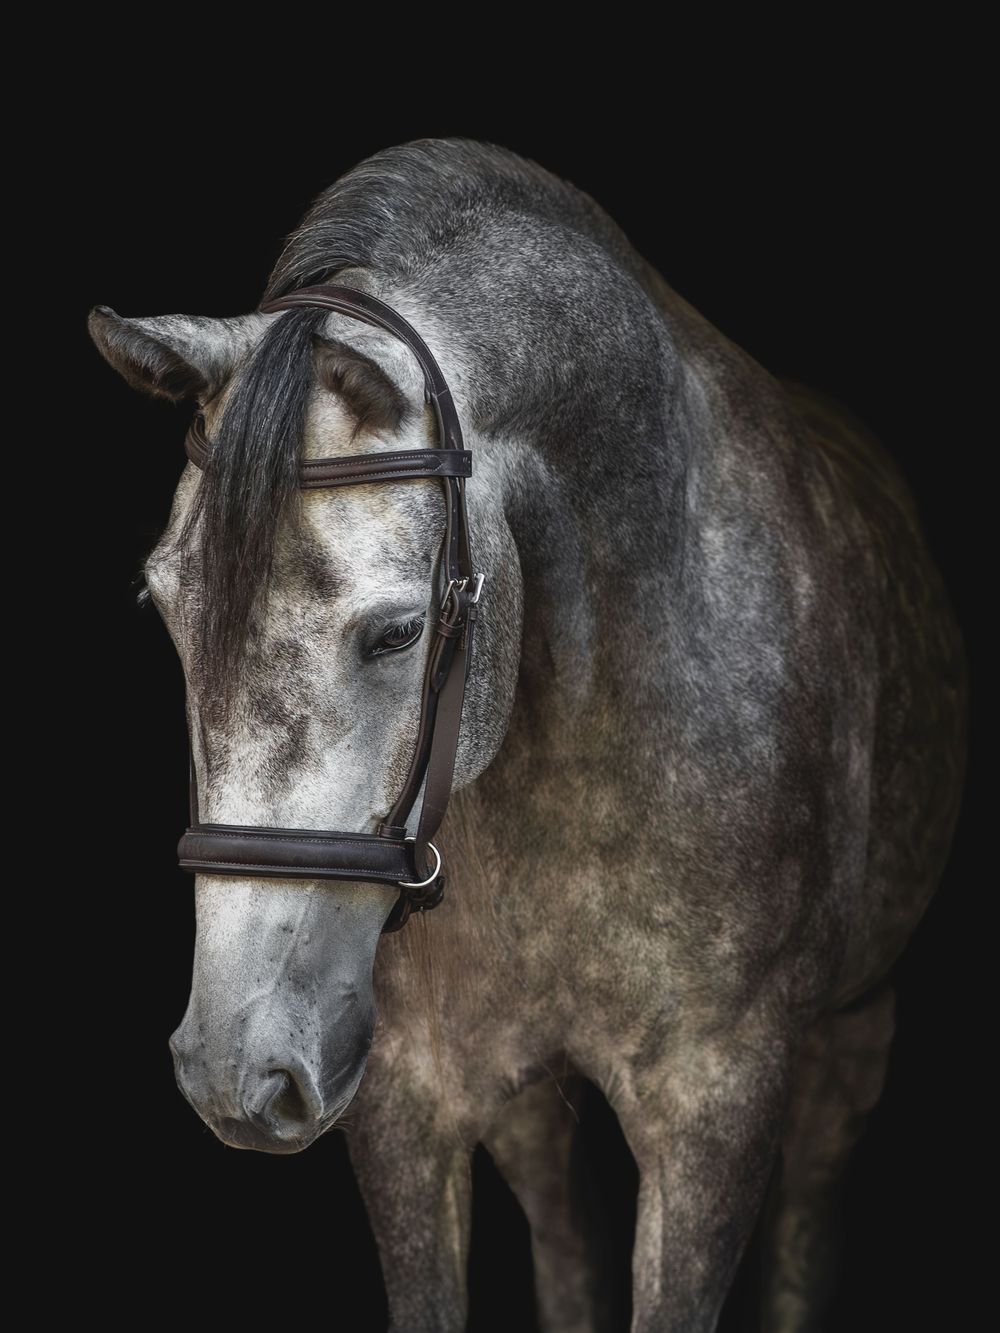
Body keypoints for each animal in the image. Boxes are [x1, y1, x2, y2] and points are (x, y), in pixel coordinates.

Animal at [87, 136, 968, 1332]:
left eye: (397, 631)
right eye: (163, 608)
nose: (235, 1068)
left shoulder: (717, 1108)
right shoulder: (410, 1099)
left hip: (853, 1038)